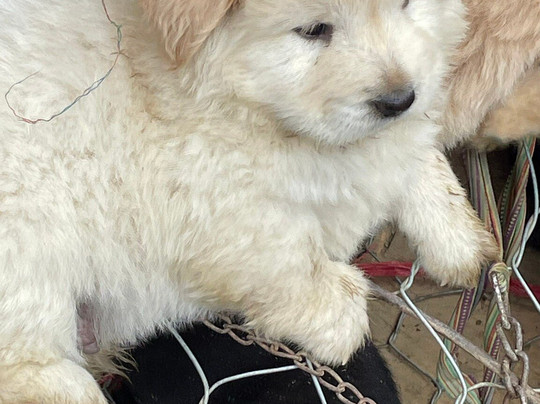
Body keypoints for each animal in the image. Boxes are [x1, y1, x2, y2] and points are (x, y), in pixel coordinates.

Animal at [0, 0, 498, 402]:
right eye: (314, 30)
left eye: (406, 3)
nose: (397, 98)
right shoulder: (207, 195)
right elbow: (287, 262)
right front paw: (342, 314)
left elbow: (419, 153)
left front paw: (462, 243)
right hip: (31, 238)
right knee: (29, 367)